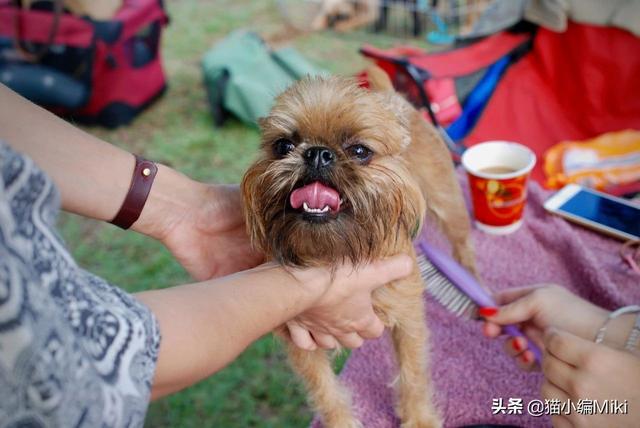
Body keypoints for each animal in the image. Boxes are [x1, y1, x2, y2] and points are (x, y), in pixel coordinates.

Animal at [242, 67, 478, 428]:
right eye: (283, 146)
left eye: (360, 151)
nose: (317, 153)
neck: (337, 255)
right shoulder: (302, 340)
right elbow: (325, 391)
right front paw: (341, 422)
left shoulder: (408, 318)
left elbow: (412, 373)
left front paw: (419, 418)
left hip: (448, 204)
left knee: (464, 245)